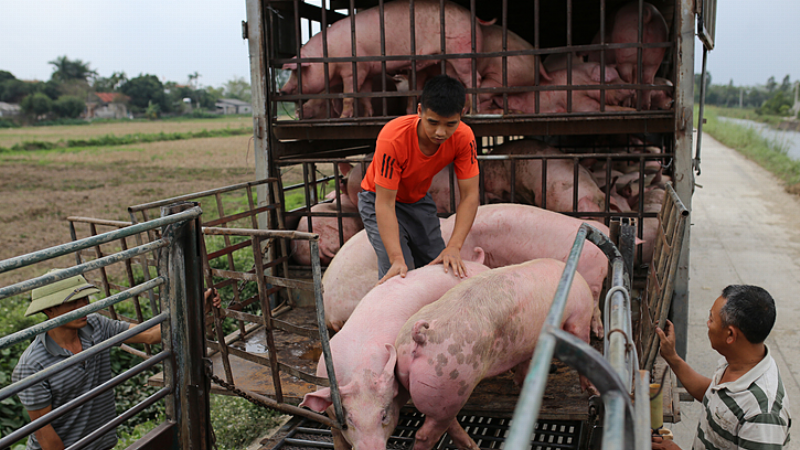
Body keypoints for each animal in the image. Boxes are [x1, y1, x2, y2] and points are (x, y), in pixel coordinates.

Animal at [282, 0, 488, 118]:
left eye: (297, 71)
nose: (282, 91)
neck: (329, 55)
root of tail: (474, 18)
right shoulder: (366, 70)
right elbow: (365, 95)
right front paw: (368, 116)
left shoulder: (352, 69)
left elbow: (349, 94)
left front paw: (343, 118)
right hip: (453, 62)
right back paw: (465, 110)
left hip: (462, 53)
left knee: (475, 79)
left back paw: (473, 112)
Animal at [394, 256, 592, 450]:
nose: (553, 369)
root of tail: (421, 336)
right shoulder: (580, 314)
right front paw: (590, 389)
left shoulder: (529, 344)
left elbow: (524, 365)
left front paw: (519, 382)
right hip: (450, 383)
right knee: (426, 433)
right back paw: (472, 446)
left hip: (437, 394)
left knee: (445, 423)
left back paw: (471, 445)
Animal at [484, 63, 636, 116]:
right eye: (613, 78)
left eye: (619, 76)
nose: (632, 89)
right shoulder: (575, 98)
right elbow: (591, 107)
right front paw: (631, 110)